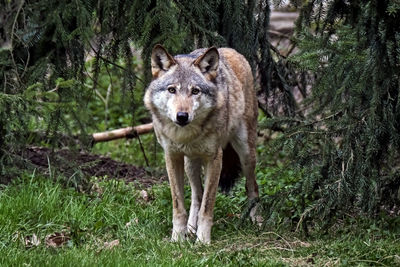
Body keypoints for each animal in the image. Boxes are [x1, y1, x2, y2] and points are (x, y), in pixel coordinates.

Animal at [145, 44, 260, 245]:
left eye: (195, 91)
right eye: (172, 90)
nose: (182, 116)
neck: (185, 135)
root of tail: (229, 49)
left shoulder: (215, 158)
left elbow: (207, 206)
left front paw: (203, 241)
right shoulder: (171, 157)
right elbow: (179, 205)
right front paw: (178, 238)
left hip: (246, 153)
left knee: (252, 186)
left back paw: (255, 220)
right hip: (190, 163)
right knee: (196, 195)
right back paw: (191, 228)